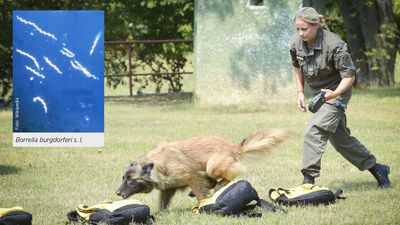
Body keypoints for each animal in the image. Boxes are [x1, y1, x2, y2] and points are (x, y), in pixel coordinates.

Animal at [115, 129, 288, 210]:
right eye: (123, 178)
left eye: (131, 179)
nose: (117, 192)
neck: (157, 164)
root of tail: (233, 147)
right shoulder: (168, 187)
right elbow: (162, 203)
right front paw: (159, 214)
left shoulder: (192, 177)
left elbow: (200, 192)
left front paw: (203, 203)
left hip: (212, 165)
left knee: (231, 174)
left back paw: (219, 185)